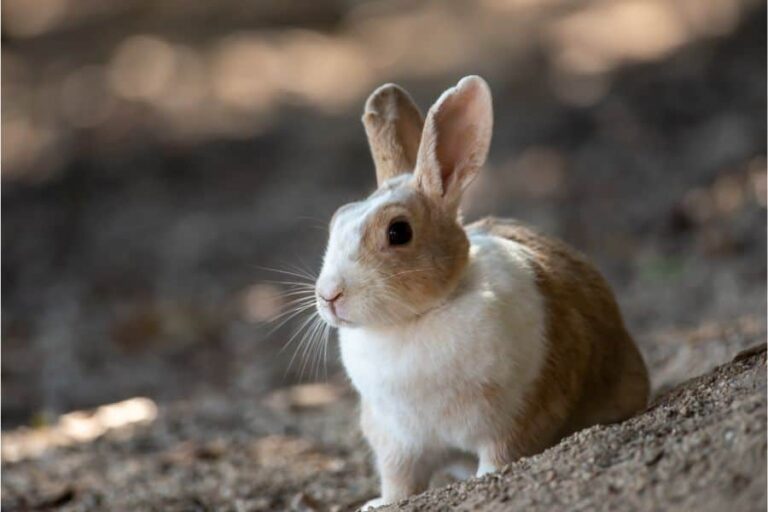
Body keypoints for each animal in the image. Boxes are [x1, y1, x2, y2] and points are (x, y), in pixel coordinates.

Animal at [313, 76, 650, 509]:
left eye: (398, 232)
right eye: (336, 221)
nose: (329, 295)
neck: (419, 317)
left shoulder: (517, 413)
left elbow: (501, 454)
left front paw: (486, 479)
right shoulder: (395, 441)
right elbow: (400, 481)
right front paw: (378, 504)